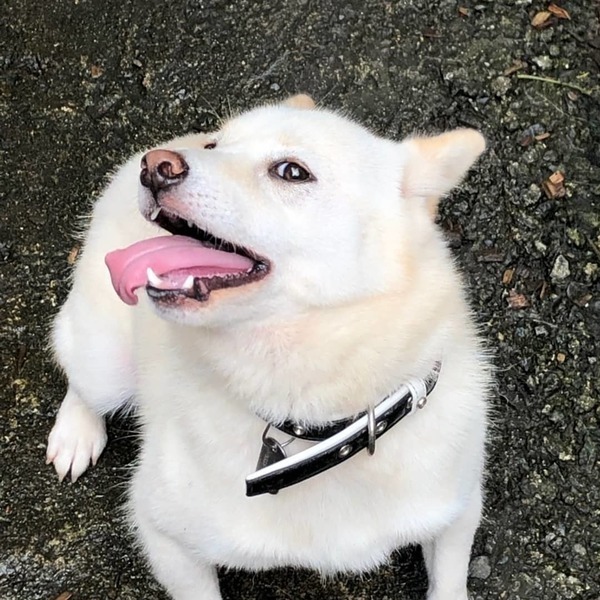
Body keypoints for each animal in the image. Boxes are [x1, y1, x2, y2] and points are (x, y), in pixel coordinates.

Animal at [47, 94, 490, 600]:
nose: (156, 166)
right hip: (104, 363)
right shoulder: (162, 531)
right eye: (215, 145)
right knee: (78, 376)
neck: (318, 420)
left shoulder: (459, 510)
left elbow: (449, 581)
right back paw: (76, 433)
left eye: (292, 171)